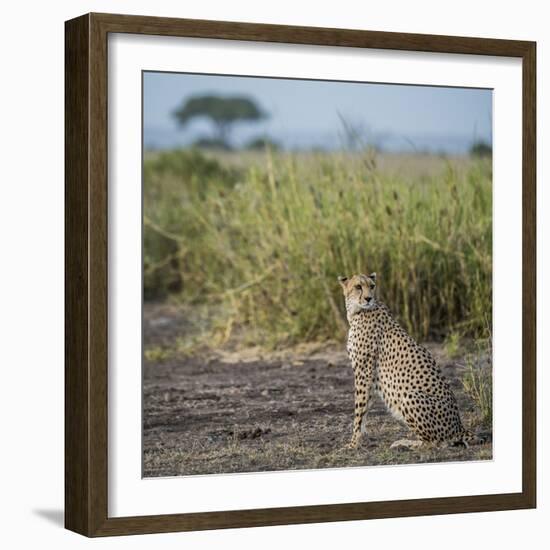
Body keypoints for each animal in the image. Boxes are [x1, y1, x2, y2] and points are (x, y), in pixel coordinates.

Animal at [340, 274, 474, 450]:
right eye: (358, 287)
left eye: (372, 286)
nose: (369, 298)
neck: (357, 311)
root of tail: (459, 426)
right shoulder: (369, 375)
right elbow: (366, 407)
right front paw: (361, 438)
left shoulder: (364, 370)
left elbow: (359, 409)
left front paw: (353, 442)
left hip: (410, 396)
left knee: (434, 443)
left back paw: (405, 443)